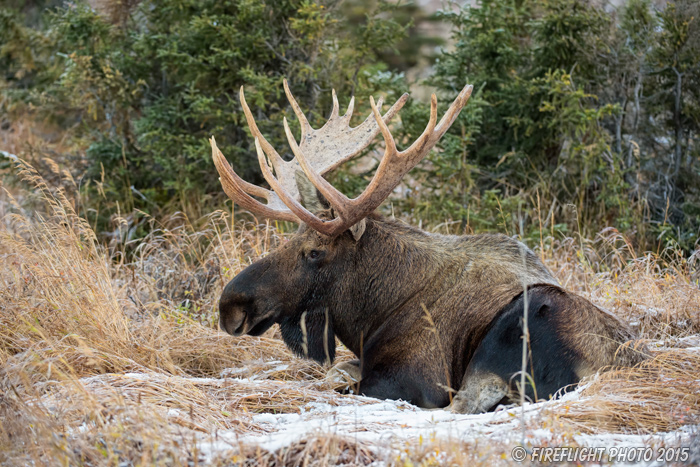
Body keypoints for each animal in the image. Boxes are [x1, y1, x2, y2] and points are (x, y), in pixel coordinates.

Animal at [211, 80, 644, 414]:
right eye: (292, 240)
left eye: (315, 252)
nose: (230, 305)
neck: (372, 314)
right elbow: (339, 369)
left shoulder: (417, 379)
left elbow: (342, 379)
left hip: (516, 330)